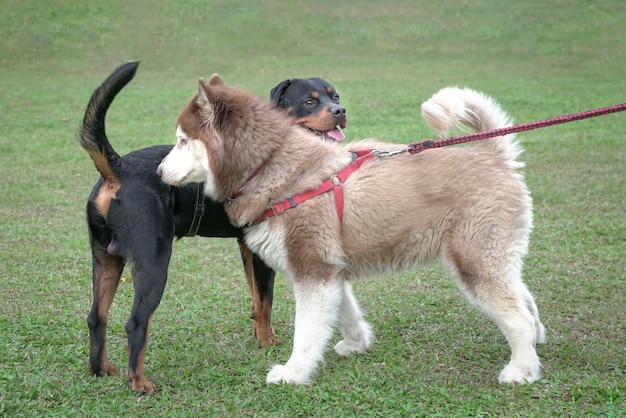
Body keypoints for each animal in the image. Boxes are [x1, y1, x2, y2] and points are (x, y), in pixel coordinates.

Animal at [79, 60, 346, 394]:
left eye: (335, 96)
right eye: (309, 102)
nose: (340, 110)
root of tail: (119, 169)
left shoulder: (248, 246)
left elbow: (257, 299)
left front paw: (263, 335)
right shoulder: (261, 253)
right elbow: (266, 299)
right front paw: (267, 343)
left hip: (105, 257)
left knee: (96, 317)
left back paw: (101, 369)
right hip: (152, 261)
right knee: (136, 323)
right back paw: (139, 383)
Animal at [157, 77, 544, 386]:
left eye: (182, 141)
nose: (158, 172)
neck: (274, 169)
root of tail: (492, 154)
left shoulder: (312, 269)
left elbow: (306, 333)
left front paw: (293, 373)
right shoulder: (330, 271)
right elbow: (346, 312)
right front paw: (357, 343)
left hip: (474, 263)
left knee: (519, 318)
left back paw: (521, 370)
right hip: (491, 259)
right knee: (525, 298)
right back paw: (536, 343)